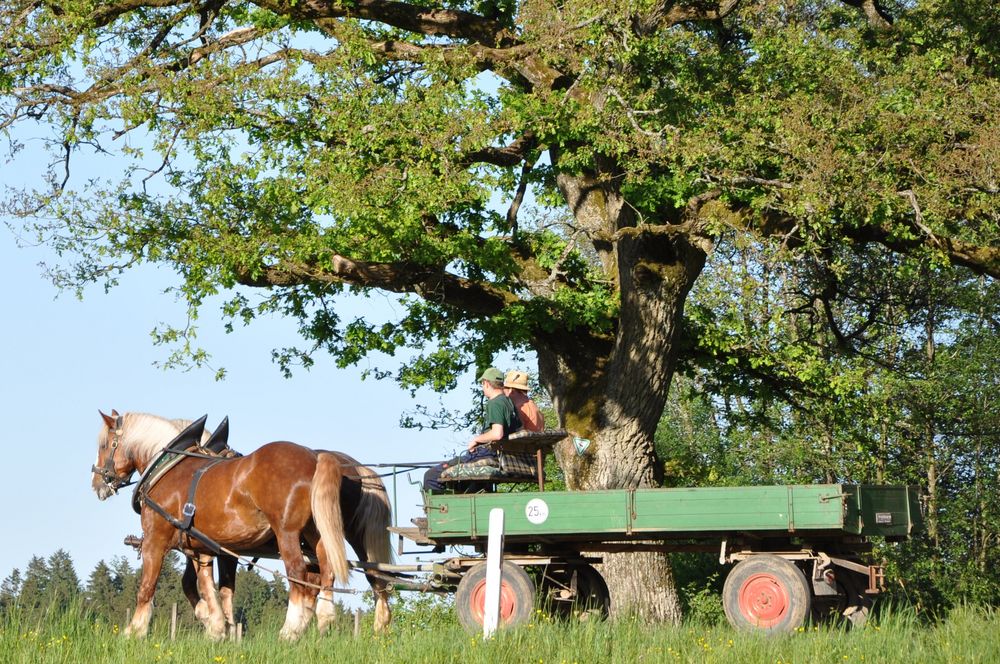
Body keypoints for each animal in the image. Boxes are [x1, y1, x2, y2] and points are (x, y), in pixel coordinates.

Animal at [88, 410, 352, 640]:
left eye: (104, 445)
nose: (97, 482)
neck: (168, 467)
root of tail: (315, 458)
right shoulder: (199, 546)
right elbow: (205, 586)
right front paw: (216, 626)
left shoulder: (155, 540)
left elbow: (147, 587)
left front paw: (134, 631)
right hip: (315, 532)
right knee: (326, 568)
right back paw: (324, 621)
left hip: (287, 533)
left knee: (298, 574)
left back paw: (290, 631)